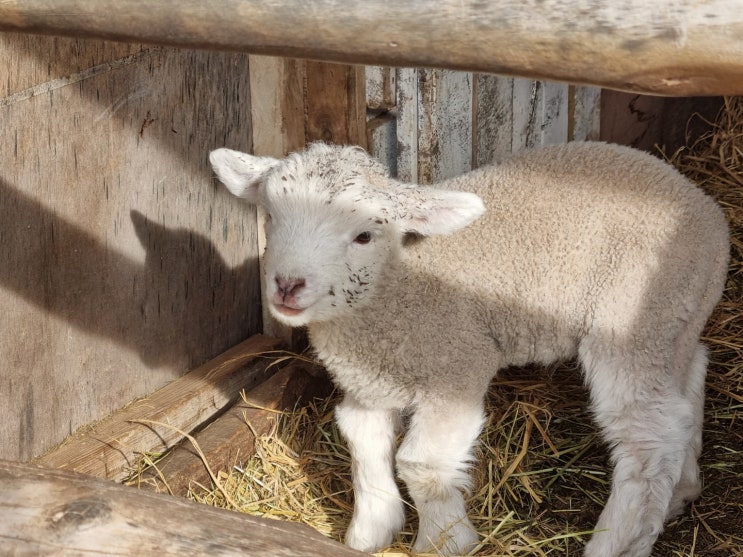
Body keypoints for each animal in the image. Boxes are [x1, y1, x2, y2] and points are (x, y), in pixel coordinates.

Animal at [208, 140, 728, 557]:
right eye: (271, 218)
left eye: (364, 235)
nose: (287, 285)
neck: (396, 291)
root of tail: (710, 212)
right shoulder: (369, 385)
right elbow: (360, 439)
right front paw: (371, 530)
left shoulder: (457, 365)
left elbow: (420, 464)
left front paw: (444, 540)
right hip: (675, 320)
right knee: (688, 385)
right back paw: (683, 489)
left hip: (633, 320)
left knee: (649, 439)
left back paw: (618, 542)